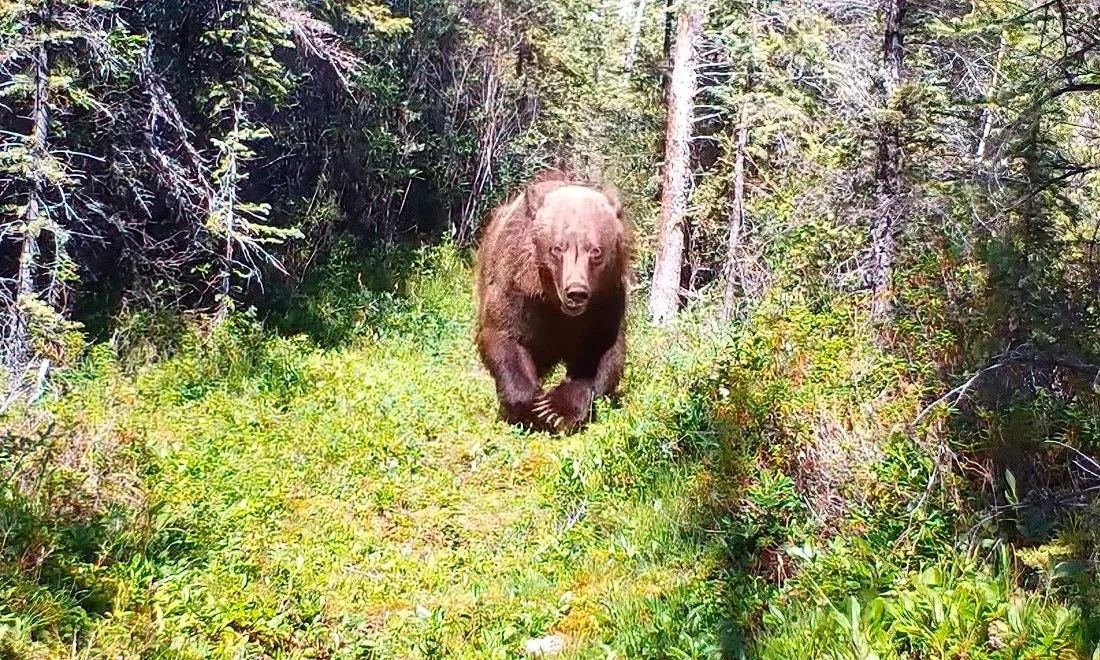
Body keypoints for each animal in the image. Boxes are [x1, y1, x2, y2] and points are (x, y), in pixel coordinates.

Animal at [475, 172, 632, 432]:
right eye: (557, 248)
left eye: (596, 251)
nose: (576, 292)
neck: (555, 305)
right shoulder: (518, 289)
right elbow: (504, 336)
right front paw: (530, 406)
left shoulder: (605, 300)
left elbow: (600, 351)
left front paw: (556, 410)